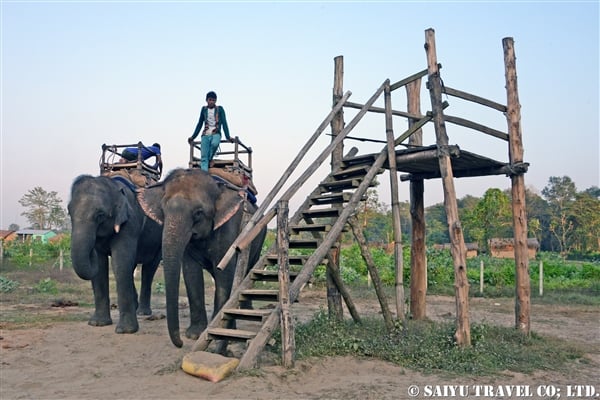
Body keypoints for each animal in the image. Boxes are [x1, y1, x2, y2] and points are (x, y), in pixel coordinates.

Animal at [67, 175, 162, 334]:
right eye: (69, 212)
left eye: (100, 215)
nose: (91, 251)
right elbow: (101, 266)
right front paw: (97, 324)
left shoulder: (130, 223)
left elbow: (120, 262)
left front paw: (126, 331)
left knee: (149, 269)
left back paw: (143, 312)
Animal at [139, 167, 266, 348]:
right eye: (163, 211)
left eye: (198, 213)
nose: (180, 343)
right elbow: (191, 272)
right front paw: (195, 335)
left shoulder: (228, 226)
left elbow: (224, 273)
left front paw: (221, 332)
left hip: (259, 234)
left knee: (247, 269)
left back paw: (245, 311)